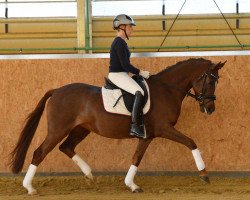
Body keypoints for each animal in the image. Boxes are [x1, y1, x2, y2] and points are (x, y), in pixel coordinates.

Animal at [9, 57, 226, 194]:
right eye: (210, 82)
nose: (210, 109)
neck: (167, 90)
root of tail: (56, 91)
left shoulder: (148, 135)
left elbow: (136, 157)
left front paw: (131, 185)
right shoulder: (164, 129)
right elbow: (191, 142)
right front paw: (204, 174)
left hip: (81, 129)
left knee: (66, 147)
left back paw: (89, 174)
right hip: (58, 130)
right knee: (40, 152)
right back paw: (30, 188)